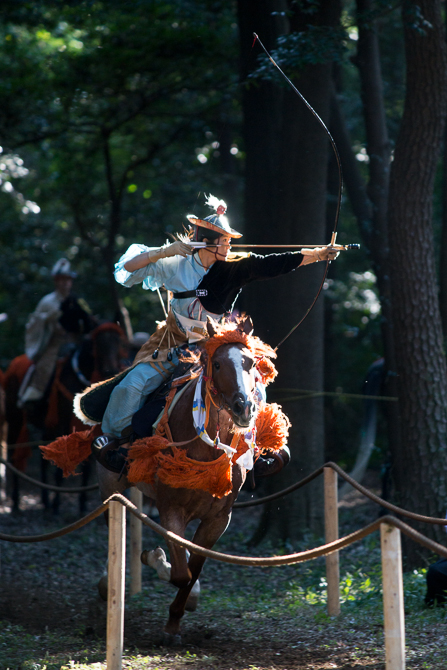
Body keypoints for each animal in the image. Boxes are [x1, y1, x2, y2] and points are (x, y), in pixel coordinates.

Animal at [4, 322, 128, 513]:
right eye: (98, 345)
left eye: (120, 343)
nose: (112, 370)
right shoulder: (63, 425)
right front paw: (56, 504)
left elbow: (87, 466)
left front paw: (82, 504)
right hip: (15, 419)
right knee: (14, 455)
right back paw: (17, 502)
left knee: (42, 461)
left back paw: (44, 500)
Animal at [96, 315, 288, 640]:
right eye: (218, 364)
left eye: (250, 362)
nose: (244, 406)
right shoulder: (172, 509)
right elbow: (180, 572)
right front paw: (158, 564)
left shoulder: (218, 518)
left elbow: (193, 568)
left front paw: (178, 614)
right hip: (112, 482)